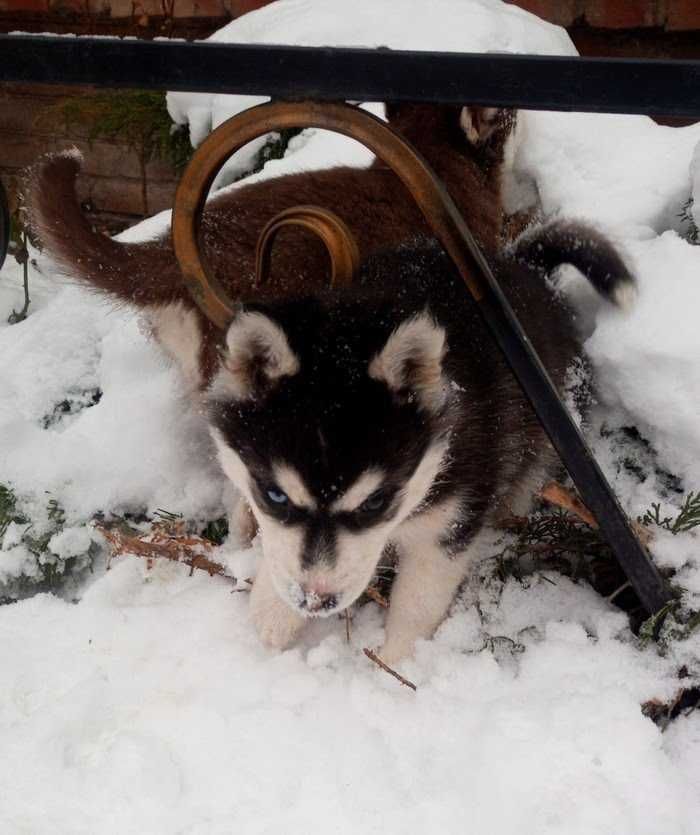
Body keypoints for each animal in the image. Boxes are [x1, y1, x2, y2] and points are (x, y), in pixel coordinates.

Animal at [209, 224, 636, 668]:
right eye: (275, 496)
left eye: (374, 503)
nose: (315, 600)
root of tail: (522, 266)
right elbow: (277, 555)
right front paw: (268, 625)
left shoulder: (449, 525)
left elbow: (417, 603)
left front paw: (396, 665)